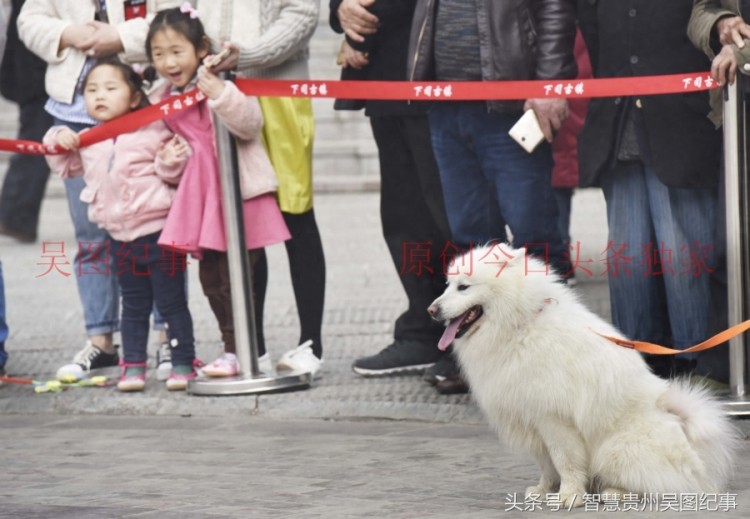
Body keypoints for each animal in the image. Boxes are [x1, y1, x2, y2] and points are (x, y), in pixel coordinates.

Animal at [428, 244, 740, 508]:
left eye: (464, 287)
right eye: (447, 285)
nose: (431, 310)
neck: (522, 324)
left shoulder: (553, 418)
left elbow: (565, 461)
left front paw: (569, 496)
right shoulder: (533, 418)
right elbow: (546, 464)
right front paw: (544, 490)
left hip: (614, 449)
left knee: (664, 486)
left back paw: (616, 493)